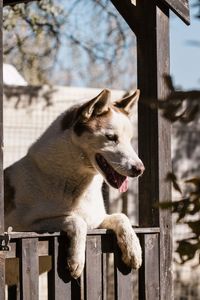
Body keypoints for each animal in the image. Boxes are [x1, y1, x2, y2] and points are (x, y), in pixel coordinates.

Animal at [4, 89, 145, 278]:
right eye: (111, 137)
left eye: (130, 139)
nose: (140, 169)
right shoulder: (23, 227)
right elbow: (76, 220)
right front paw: (76, 260)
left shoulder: (96, 220)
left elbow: (122, 217)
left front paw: (133, 250)